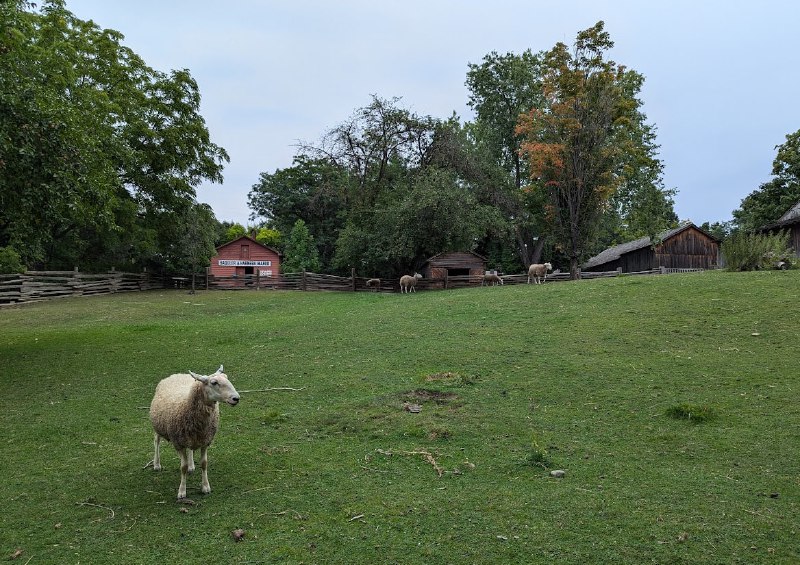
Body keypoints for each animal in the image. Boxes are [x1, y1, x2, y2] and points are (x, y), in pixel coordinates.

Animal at [148, 366, 239, 498]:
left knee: (190, 449)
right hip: (158, 426)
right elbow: (183, 467)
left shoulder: (205, 440)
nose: (236, 398)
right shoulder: (178, 443)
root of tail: (177, 374)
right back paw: (156, 464)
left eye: (226, 377)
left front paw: (205, 487)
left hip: (190, 437)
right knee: (156, 441)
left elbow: (204, 463)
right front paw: (182, 491)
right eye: (214, 383)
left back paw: (191, 465)